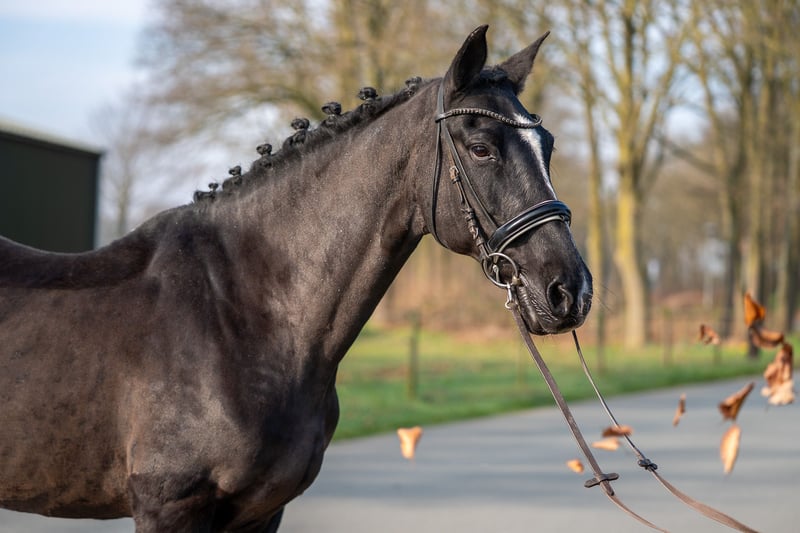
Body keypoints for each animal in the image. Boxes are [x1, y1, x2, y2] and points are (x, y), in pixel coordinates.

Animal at [0, 26, 591, 532]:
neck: (241, 315)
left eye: (548, 146)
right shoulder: (169, 509)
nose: (570, 291)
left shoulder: (261, 514)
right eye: (481, 148)